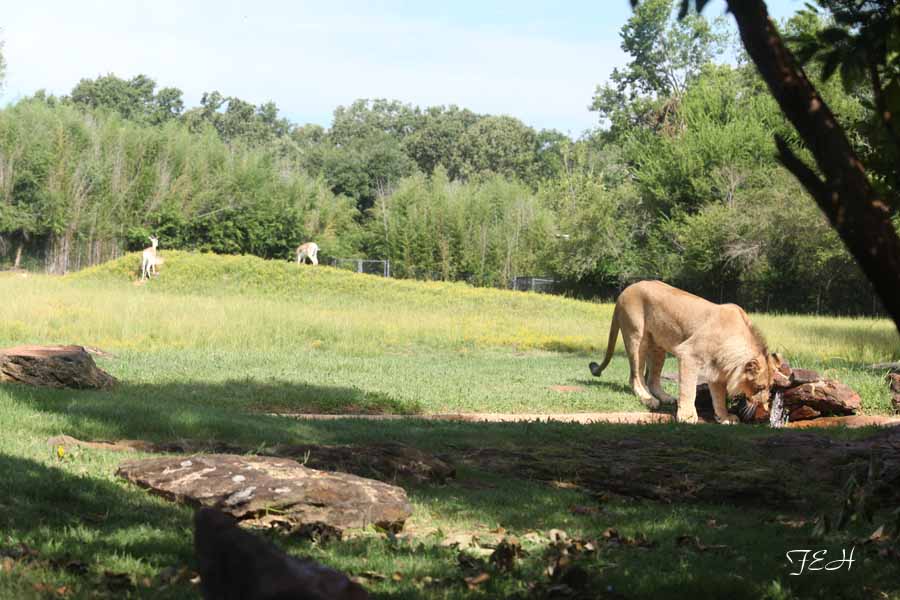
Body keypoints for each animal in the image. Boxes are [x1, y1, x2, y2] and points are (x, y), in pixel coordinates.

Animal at [589, 280, 781, 424]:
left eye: (770, 387)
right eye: (760, 387)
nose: (766, 407)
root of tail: (624, 291)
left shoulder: (717, 369)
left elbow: (719, 397)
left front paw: (724, 417)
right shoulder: (688, 354)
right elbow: (689, 388)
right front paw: (687, 415)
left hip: (658, 346)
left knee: (652, 378)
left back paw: (665, 398)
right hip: (636, 337)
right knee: (635, 376)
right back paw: (648, 399)